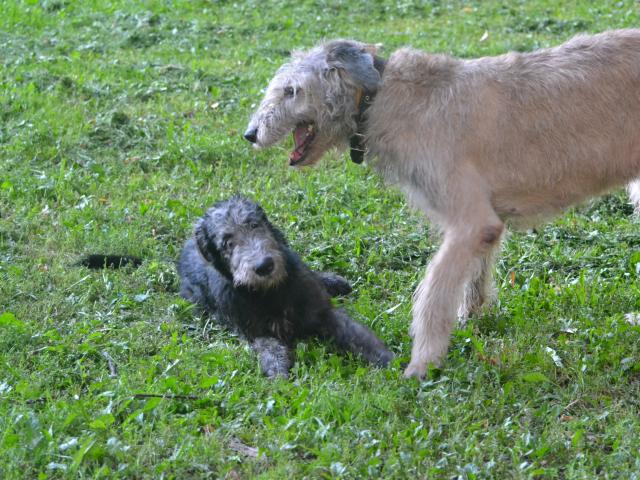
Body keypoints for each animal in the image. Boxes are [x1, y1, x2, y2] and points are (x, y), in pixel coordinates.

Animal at [178, 197, 392, 376]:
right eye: (227, 243)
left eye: (254, 224)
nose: (264, 266)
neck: (271, 292)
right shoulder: (256, 332)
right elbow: (271, 350)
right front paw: (279, 374)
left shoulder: (322, 310)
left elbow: (356, 335)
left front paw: (387, 359)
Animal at [244, 30, 640, 378]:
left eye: (291, 91)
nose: (250, 134)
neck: (381, 99)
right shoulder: (483, 221)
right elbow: (475, 276)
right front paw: (470, 317)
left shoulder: (470, 222)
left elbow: (435, 292)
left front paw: (422, 362)